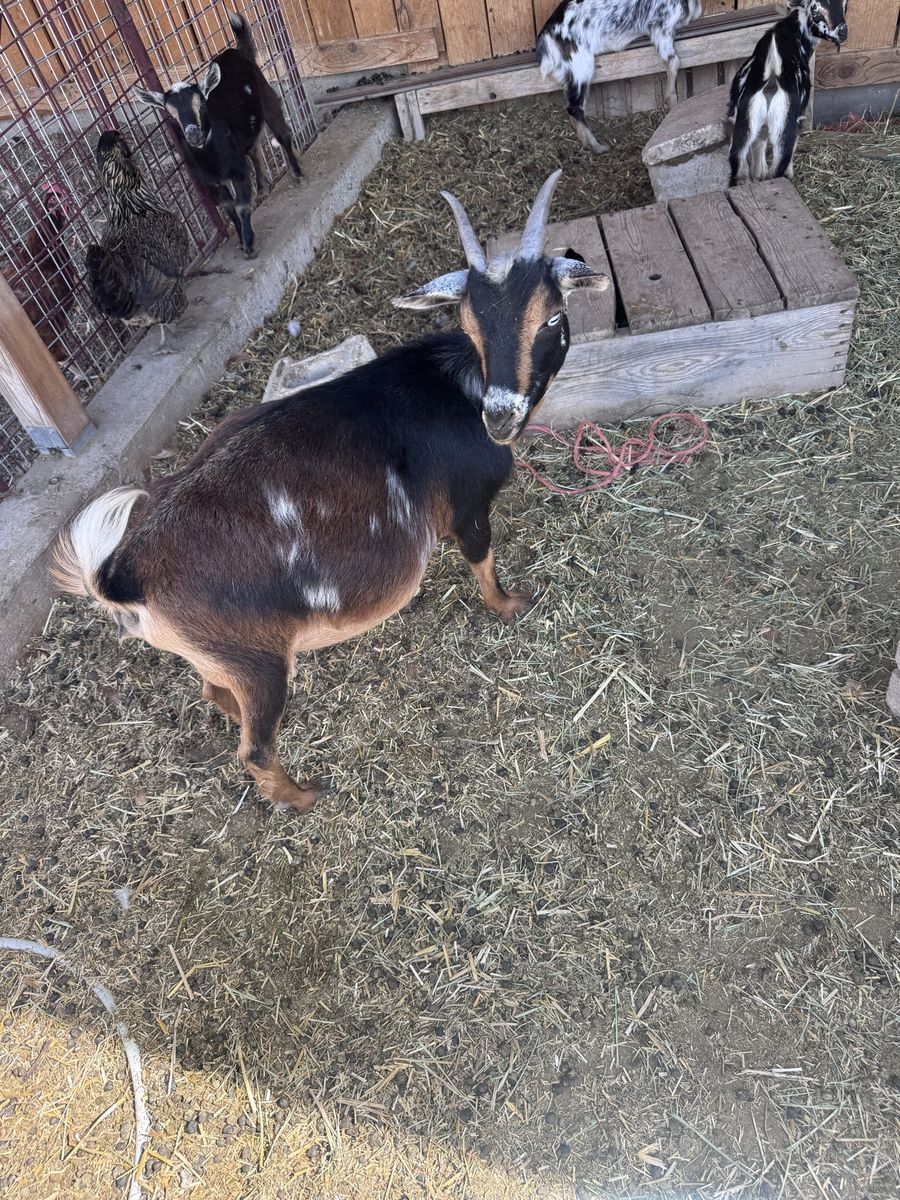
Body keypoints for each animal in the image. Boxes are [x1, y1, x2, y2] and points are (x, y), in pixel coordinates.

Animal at [52, 172, 609, 814]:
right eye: (469, 325)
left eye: (551, 318)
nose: (500, 416)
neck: (461, 385)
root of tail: (126, 570)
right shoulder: (468, 505)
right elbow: (482, 560)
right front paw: (512, 604)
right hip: (258, 658)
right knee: (254, 748)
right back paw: (303, 795)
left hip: (217, 656)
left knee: (212, 692)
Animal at [134, 11, 302, 259]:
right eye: (170, 114)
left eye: (203, 105)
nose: (194, 135)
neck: (212, 158)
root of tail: (238, 52)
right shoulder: (211, 183)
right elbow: (228, 208)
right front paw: (241, 240)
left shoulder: (238, 171)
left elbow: (241, 205)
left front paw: (249, 246)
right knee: (254, 148)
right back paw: (262, 189)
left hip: (268, 98)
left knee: (282, 135)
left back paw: (298, 174)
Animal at [537, 0, 703, 153]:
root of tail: (546, 35)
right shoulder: (662, 27)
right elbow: (674, 61)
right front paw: (673, 102)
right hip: (580, 64)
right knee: (575, 107)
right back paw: (598, 147)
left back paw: (587, 143)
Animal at [727, 0, 848, 186]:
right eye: (815, 12)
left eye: (844, 4)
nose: (842, 32)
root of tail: (770, 77)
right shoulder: (799, 118)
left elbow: (759, 148)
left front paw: (758, 174)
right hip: (783, 128)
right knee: (778, 168)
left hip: (744, 128)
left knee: (740, 169)